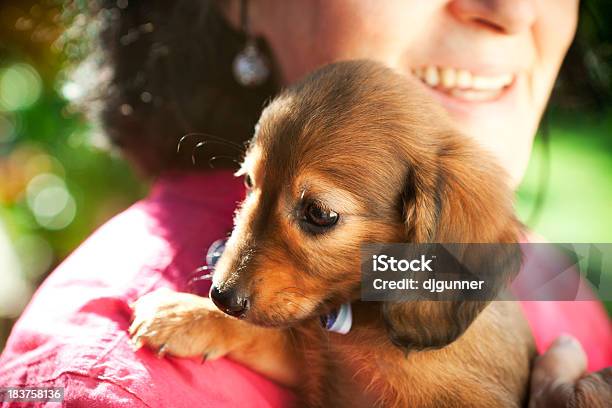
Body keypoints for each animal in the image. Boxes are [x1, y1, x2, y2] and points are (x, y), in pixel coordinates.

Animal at [130, 61, 536, 408]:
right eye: (249, 182)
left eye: (320, 214)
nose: (221, 297)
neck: (364, 314)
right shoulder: (323, 361)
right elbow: (274, 333)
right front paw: (188, 315)